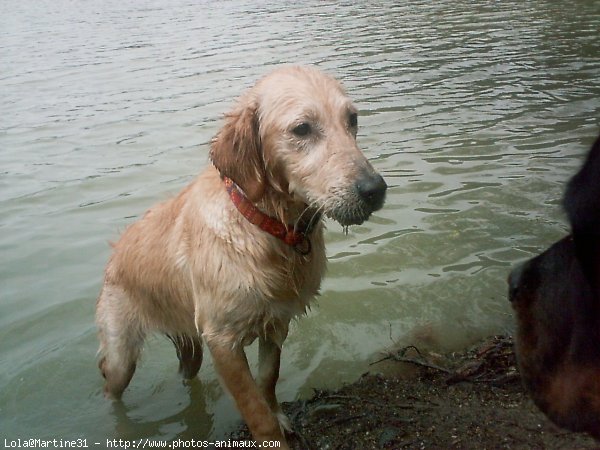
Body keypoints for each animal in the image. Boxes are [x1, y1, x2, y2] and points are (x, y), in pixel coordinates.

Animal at [96, 64, 386, 446]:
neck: (268, 226)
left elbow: (268, 380)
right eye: (302, 128)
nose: (375, 190)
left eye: (352, 119)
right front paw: (274, 440)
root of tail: (114, 254)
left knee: (187, 372)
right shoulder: (222, 341)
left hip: (190, 345)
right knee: (109, 381)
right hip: (122, 355)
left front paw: (280, 415)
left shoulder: (277, 322)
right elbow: (254, 410)